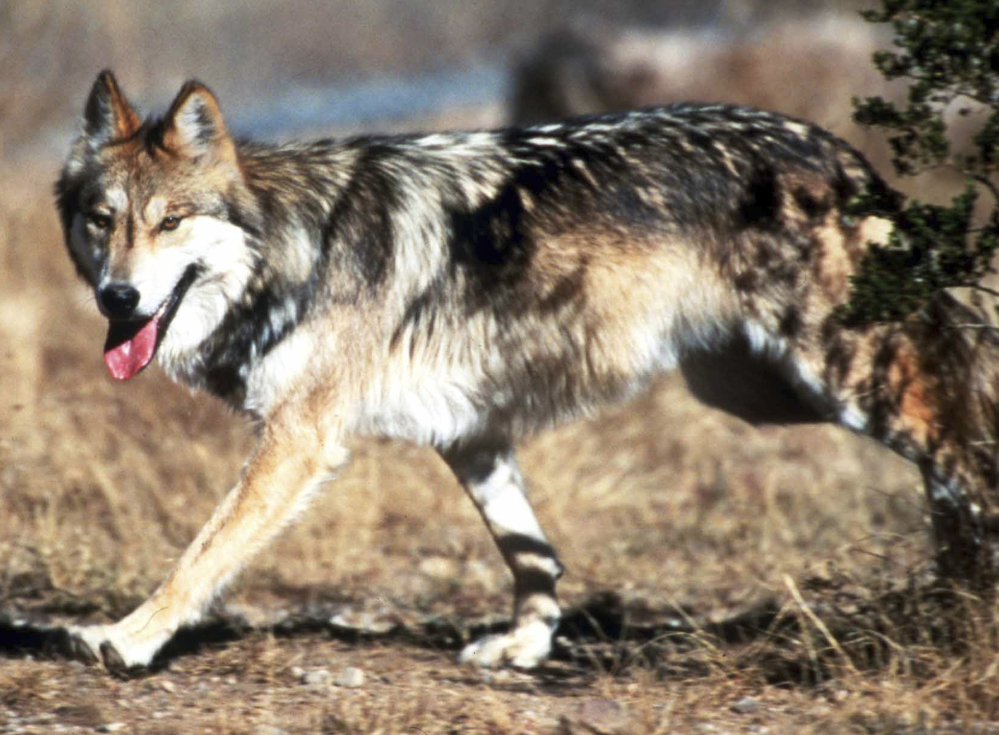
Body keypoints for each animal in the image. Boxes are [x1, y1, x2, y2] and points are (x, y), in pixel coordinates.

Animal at [54, 70, 998, 675]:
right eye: (103, 220)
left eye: (170, 221)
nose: (117, 296)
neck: (295, 250)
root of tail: (837, 149)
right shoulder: (471, 435)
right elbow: (533, 558)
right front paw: (524, 649)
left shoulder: (300, 438)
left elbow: (201, 552)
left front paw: (127, 637)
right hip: (759, 394)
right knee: (950, 442)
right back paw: (953, 599)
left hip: (840, 377)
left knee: (963, 446)